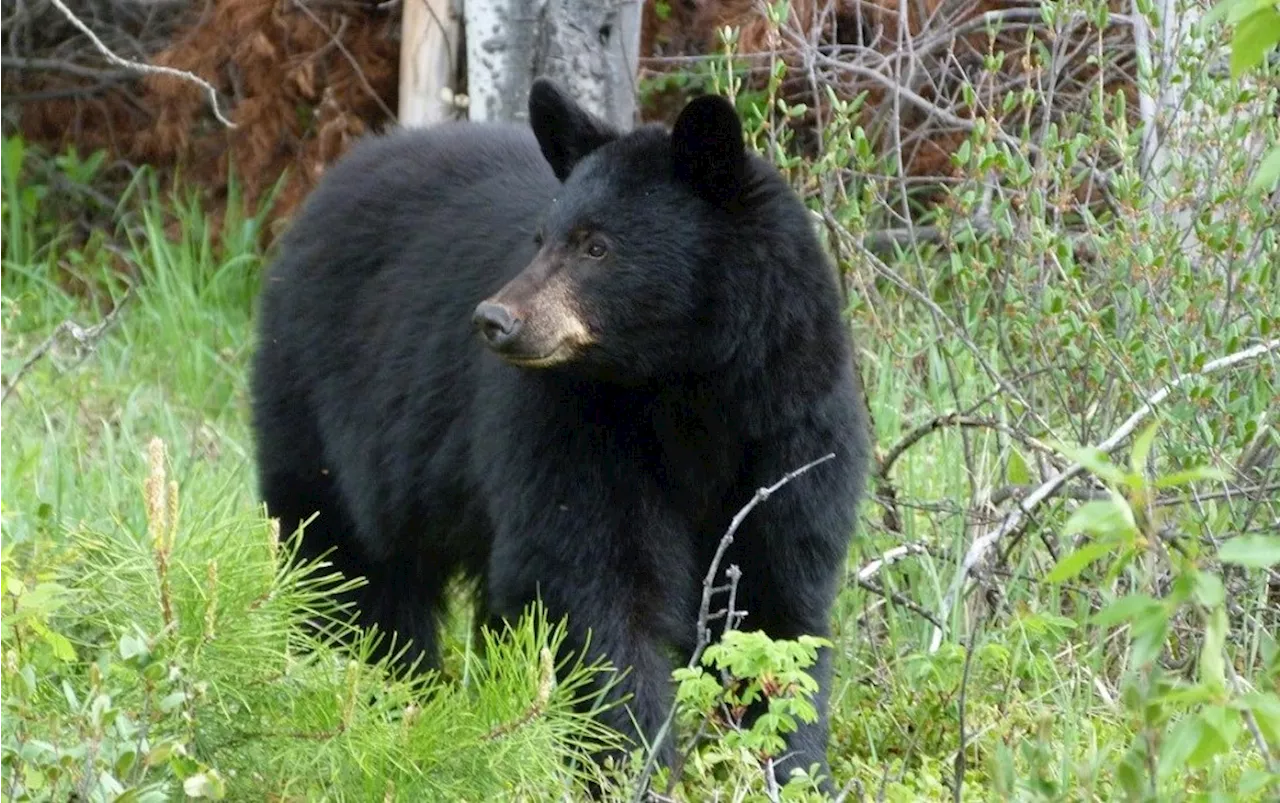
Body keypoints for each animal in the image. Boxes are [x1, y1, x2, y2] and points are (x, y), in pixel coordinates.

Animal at [249, 78, 870, 788]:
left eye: (596, 245)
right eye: (540, 238)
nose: (495, 319)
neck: (688, 387)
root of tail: (340, 173)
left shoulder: (792, 425)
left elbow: (778, 604)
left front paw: (796, 770)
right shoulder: (572, 426)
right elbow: (592, 583)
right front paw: (634, 766)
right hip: (323, 406)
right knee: (347, 562)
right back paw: (376, 688)